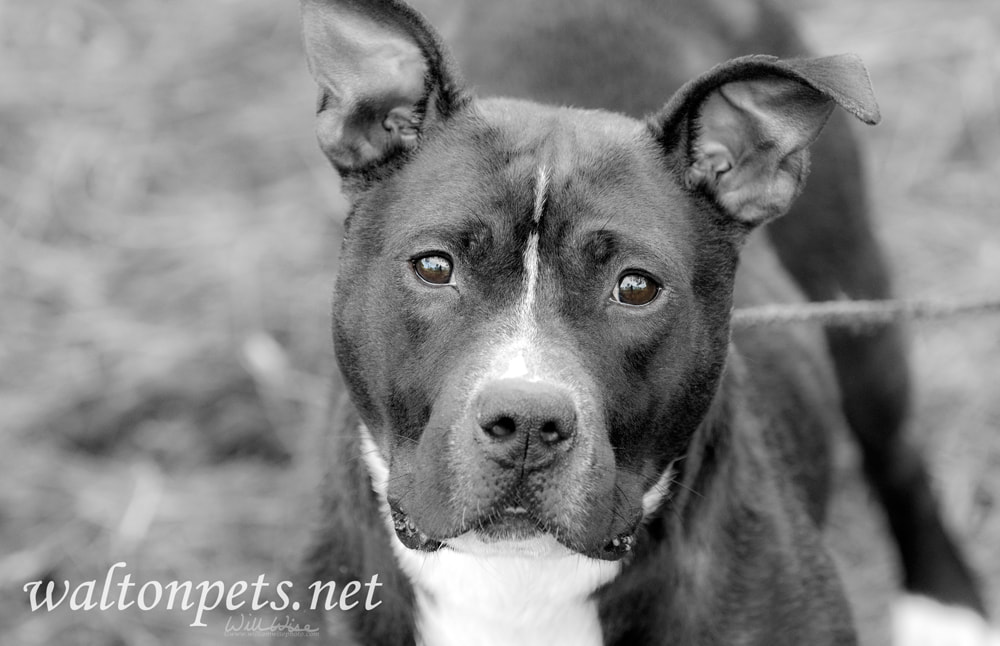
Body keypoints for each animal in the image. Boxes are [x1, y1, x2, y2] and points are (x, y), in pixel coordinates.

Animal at [292, 1, 988, 646]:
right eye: (435, 267)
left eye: (635, 287)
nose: (527, 421)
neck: (518, 582)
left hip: (854, 303)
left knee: (897, 454)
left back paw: (947, 607)